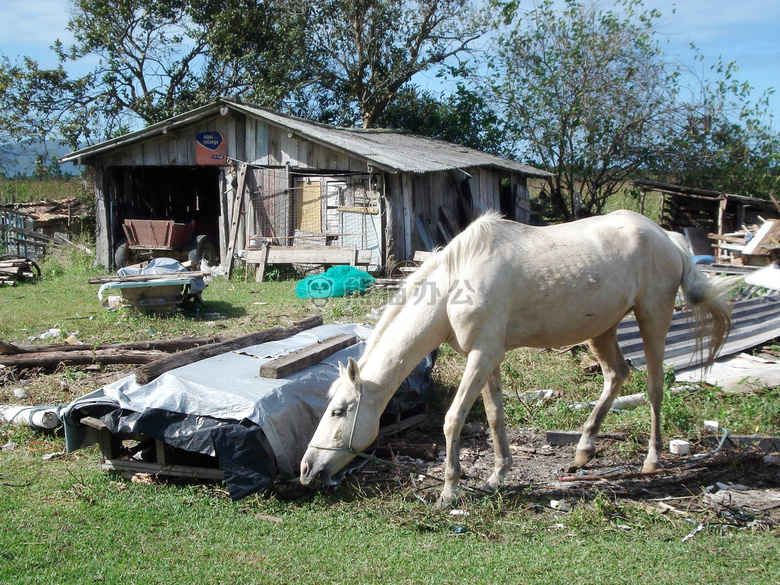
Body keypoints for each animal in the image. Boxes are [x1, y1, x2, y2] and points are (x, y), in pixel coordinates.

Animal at [302, 210, 736, 506]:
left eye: (339, 411)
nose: (307, 469)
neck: (454, 285)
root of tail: (669, 238)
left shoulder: (482, 355)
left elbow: (453, 419)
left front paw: (450, 490)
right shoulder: (487, 356)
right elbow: (495, 415)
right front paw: (497, 476)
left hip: (653, 318)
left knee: (655, 386)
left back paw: (652, 460)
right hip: (603, 330)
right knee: (616, 374)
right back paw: (582, 451)